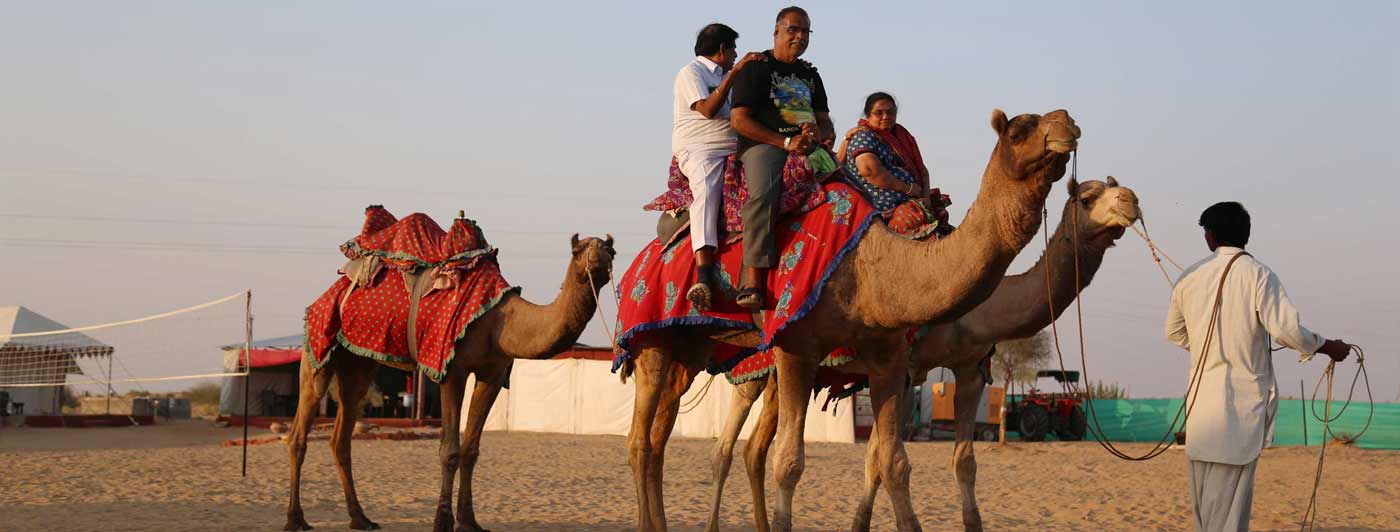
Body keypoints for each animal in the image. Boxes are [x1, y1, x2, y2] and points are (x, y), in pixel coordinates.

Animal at [284, 207, 613, 532]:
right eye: (578, 250)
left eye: (611, 250)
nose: (600, 256)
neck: (500, 322)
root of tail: (327, 294)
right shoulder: (451, 369)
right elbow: (450, 451)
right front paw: (442, 521)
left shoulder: (492, 376)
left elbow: (471, 450)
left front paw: (469, 521)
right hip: (318, 344)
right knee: (299, 431)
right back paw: (295, 519)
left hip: (357, 363)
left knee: (341, 435)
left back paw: (360, 518)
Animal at [613, 107, 1080, 532]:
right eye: (1019, 130)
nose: (1067, 123)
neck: (872, 265)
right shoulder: (797, 347)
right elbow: (790, 463)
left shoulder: (894, 357)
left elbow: (893, 463)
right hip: (655, 341)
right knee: (646, 442)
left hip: (690, 350)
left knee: (666, 438)